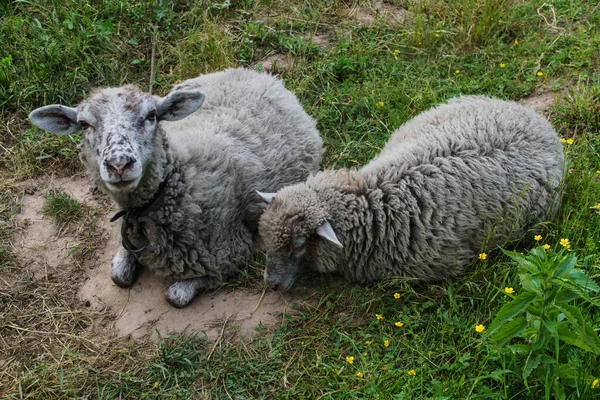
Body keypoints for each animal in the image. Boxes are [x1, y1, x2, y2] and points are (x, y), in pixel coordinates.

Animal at [29, 68, 324, 306]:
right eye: (83, 124)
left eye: (151, 115)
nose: (119, 164)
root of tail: (259, 75)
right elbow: (118, 276)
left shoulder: (232, 251)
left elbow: (176, 296)